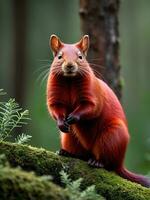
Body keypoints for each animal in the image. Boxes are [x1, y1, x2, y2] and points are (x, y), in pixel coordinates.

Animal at [46, 34, 150, 188]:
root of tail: (120, 163)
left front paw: (73, 117)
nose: (70, 65)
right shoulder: (55, 97)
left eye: (80, 57)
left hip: (111, 137)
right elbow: (54, 109)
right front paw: (61, 122)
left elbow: (91, 108)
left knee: (107, 162)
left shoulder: (93, 95)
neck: (70, 81)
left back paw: (98, 162)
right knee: (81, 154)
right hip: (70, 138)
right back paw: (67, 152)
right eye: (59, 56)